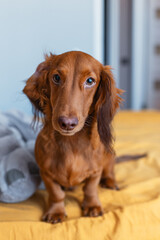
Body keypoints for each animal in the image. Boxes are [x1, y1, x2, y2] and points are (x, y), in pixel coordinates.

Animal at [22, 50, 122, 223]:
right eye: (56, 77)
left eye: (90, 81)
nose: (67, 123)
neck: (71, 144)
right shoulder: (45, 173)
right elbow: (56, 193)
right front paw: (56, 212)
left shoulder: (95, 171)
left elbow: (90, 188)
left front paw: (92, 206)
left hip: (108, 156)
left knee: (109, 169)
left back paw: (110, 181)